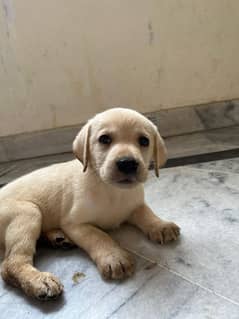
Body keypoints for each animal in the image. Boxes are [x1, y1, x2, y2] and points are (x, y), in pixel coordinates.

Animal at [0, 109, 179, 302]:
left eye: (144, 141)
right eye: (104, 139)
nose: (127, 163)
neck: (112, 190)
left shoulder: (135, 205)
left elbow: (147, 213)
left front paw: (161, 225)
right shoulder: (75, 224)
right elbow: (99, 236)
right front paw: (114, 257)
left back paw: (58, 238)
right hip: (29, 212)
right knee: (11, 264)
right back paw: (39, 280)